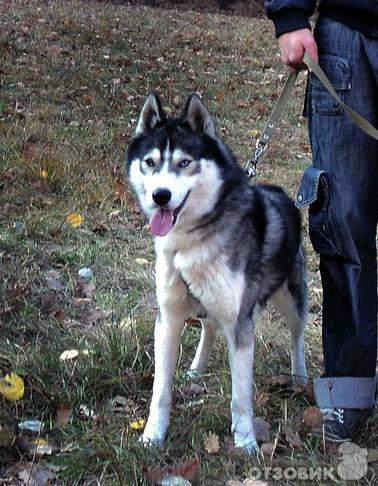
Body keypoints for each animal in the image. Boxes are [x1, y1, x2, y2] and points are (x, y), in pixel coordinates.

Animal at [127, 94, 308, 452]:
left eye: (185, 163)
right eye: (150, 162)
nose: (160, 196)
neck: (191, 241)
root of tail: (281, 193)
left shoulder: (241, 323)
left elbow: (241, 397)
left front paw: (246, 442)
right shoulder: (167, 318)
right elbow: (160, 391)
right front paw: (153, 435)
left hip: (290, 299)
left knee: (297, 334)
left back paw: (299, 377)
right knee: (208, 326)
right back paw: (196, 369)